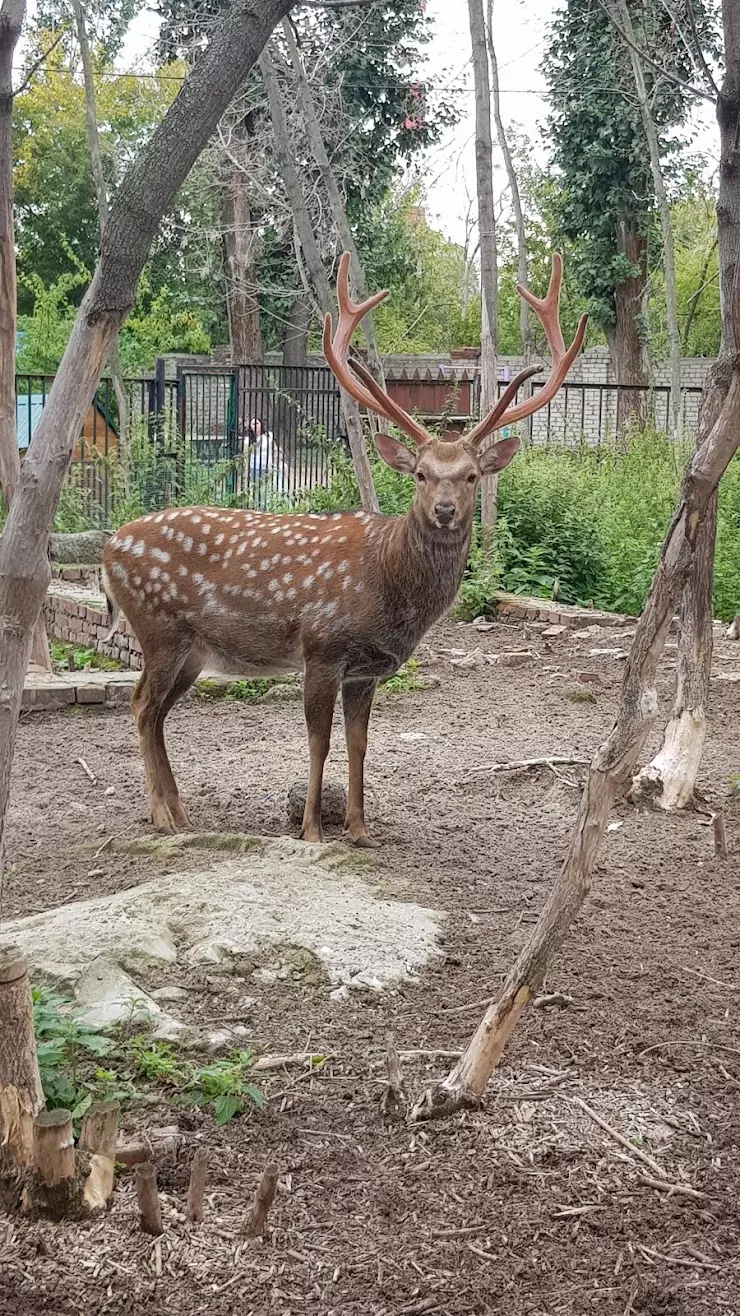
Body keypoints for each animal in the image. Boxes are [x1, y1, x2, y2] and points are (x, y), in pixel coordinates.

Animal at [104, 252, 584, 847]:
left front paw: (359, 827)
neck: (388, 586)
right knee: (141, 705)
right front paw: (312, 829)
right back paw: (162, 815)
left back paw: (179, 810)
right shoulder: (322, 648)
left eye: (472, 476)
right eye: (421, 474)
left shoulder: (366, 670)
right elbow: (319, 740)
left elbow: (359, 743)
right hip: (160, 628)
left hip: (192, 650)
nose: (445, 509)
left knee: (155, 710)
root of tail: (107, 550)